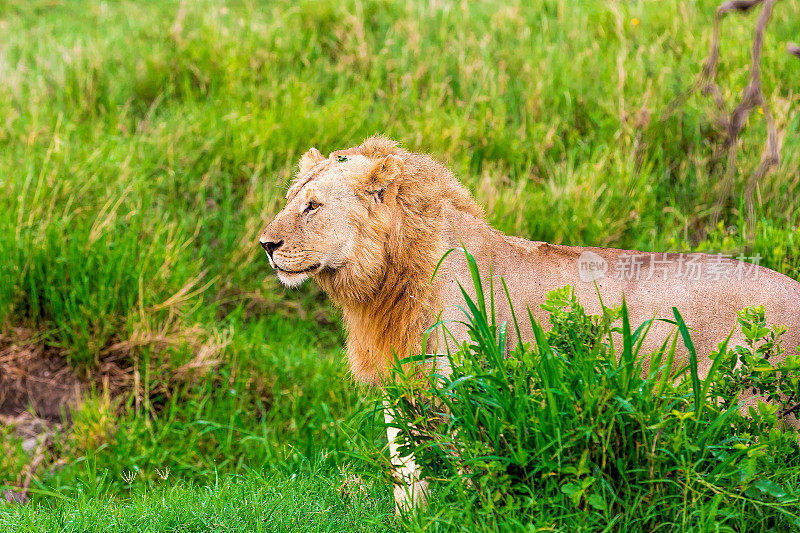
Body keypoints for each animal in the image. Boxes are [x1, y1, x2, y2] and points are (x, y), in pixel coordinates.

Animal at [260, 137, 800, 512]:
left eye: (313, 206)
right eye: (291, 199)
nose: (266, 245)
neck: (382, 285)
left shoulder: (464, 385)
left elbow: (466, 469)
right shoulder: (402, 385)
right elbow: (406, 470)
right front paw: (410, 519)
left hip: (752, 410)